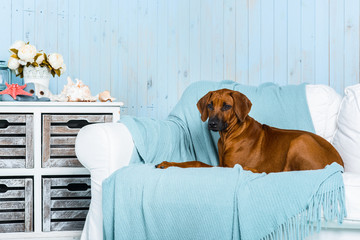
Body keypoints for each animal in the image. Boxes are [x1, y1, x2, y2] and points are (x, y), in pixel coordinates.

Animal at [156, 88, 344, 172]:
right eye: (210, 105)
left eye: (226, 106)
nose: (212, 124)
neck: (229, 135)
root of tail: (340, 164)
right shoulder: (221, 164)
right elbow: (193, 161)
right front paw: (168, 163)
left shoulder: (227, 167)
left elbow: (198, 163)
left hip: (300, 141)